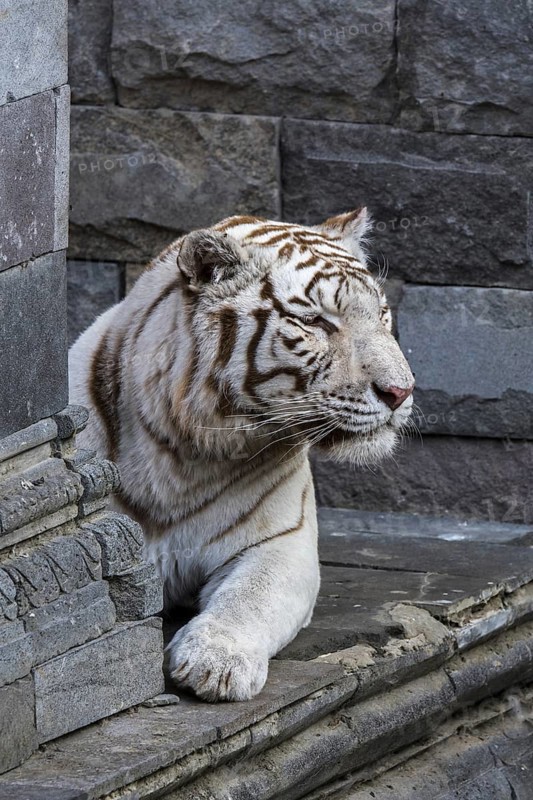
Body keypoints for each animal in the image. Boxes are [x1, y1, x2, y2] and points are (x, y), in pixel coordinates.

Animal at [68, 207, 414, 702]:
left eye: (382, 314)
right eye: (316, 322)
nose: (401, 392)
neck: (179, 453)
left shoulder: (282, 542)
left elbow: (250, 598)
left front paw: (216, 663)